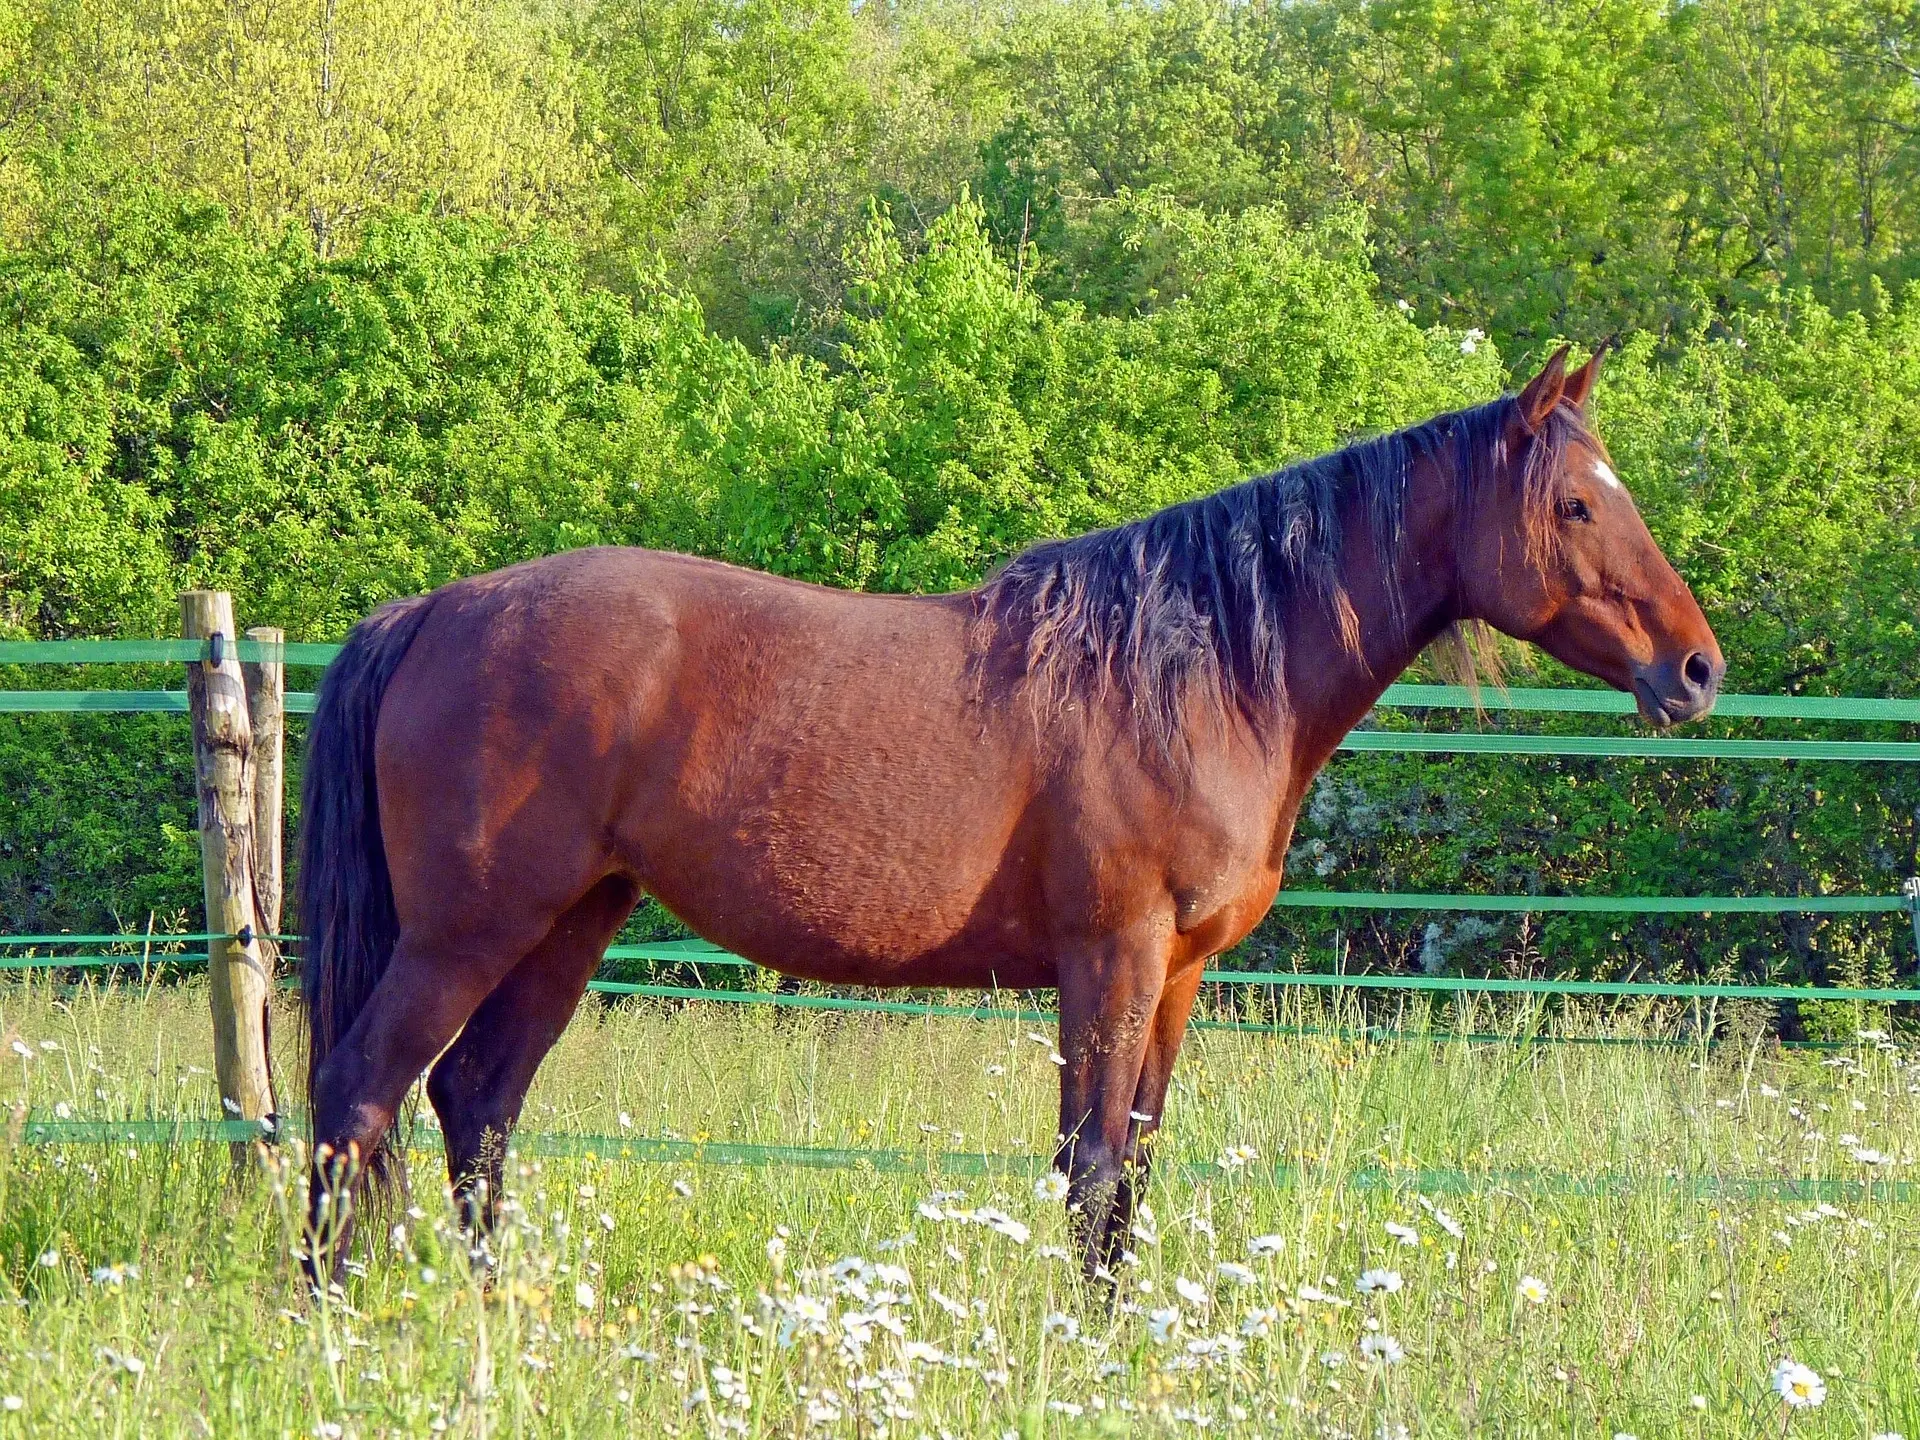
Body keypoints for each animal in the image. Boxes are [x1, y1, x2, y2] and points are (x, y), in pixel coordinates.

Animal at [295, 343, 1728, 1282]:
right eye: (1576, 503)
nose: (1699, 669)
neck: (1197, 670)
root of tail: (433, 611)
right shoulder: (1109, 959)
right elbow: (1088, 1172)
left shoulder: (1175, 976)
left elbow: (1132, 1174)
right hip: (471, 929)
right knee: (360, 1092)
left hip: (570, 922)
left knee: (476, 1108)